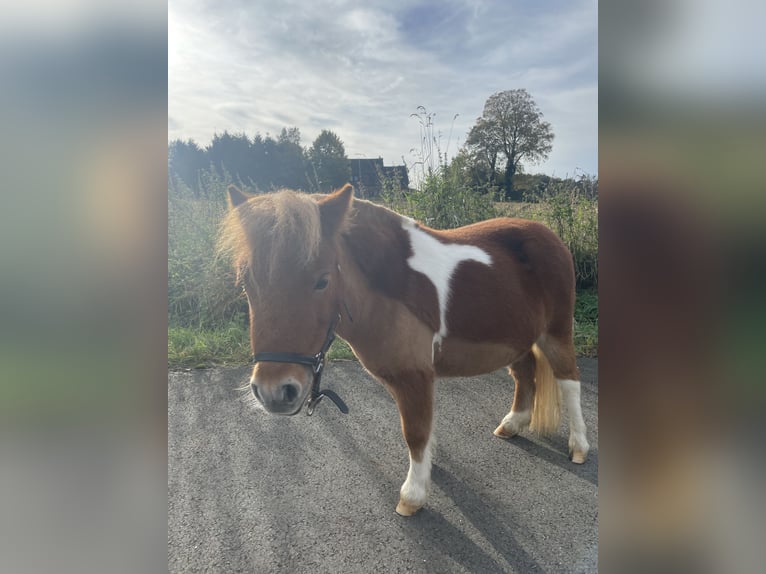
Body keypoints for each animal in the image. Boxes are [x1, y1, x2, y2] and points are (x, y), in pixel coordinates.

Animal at [219, 183, 589, 516]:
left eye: (322, 280)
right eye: (246, 282)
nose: (273, 391)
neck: (391, 289)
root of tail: (549, 235)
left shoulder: (415, 376)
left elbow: (414, 431)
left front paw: (412, 496)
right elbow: (418, 429)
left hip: (556, 333)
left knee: (569, 381)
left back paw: (579, 446)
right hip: (517, 338)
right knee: (525, 374)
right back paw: (513, 424)